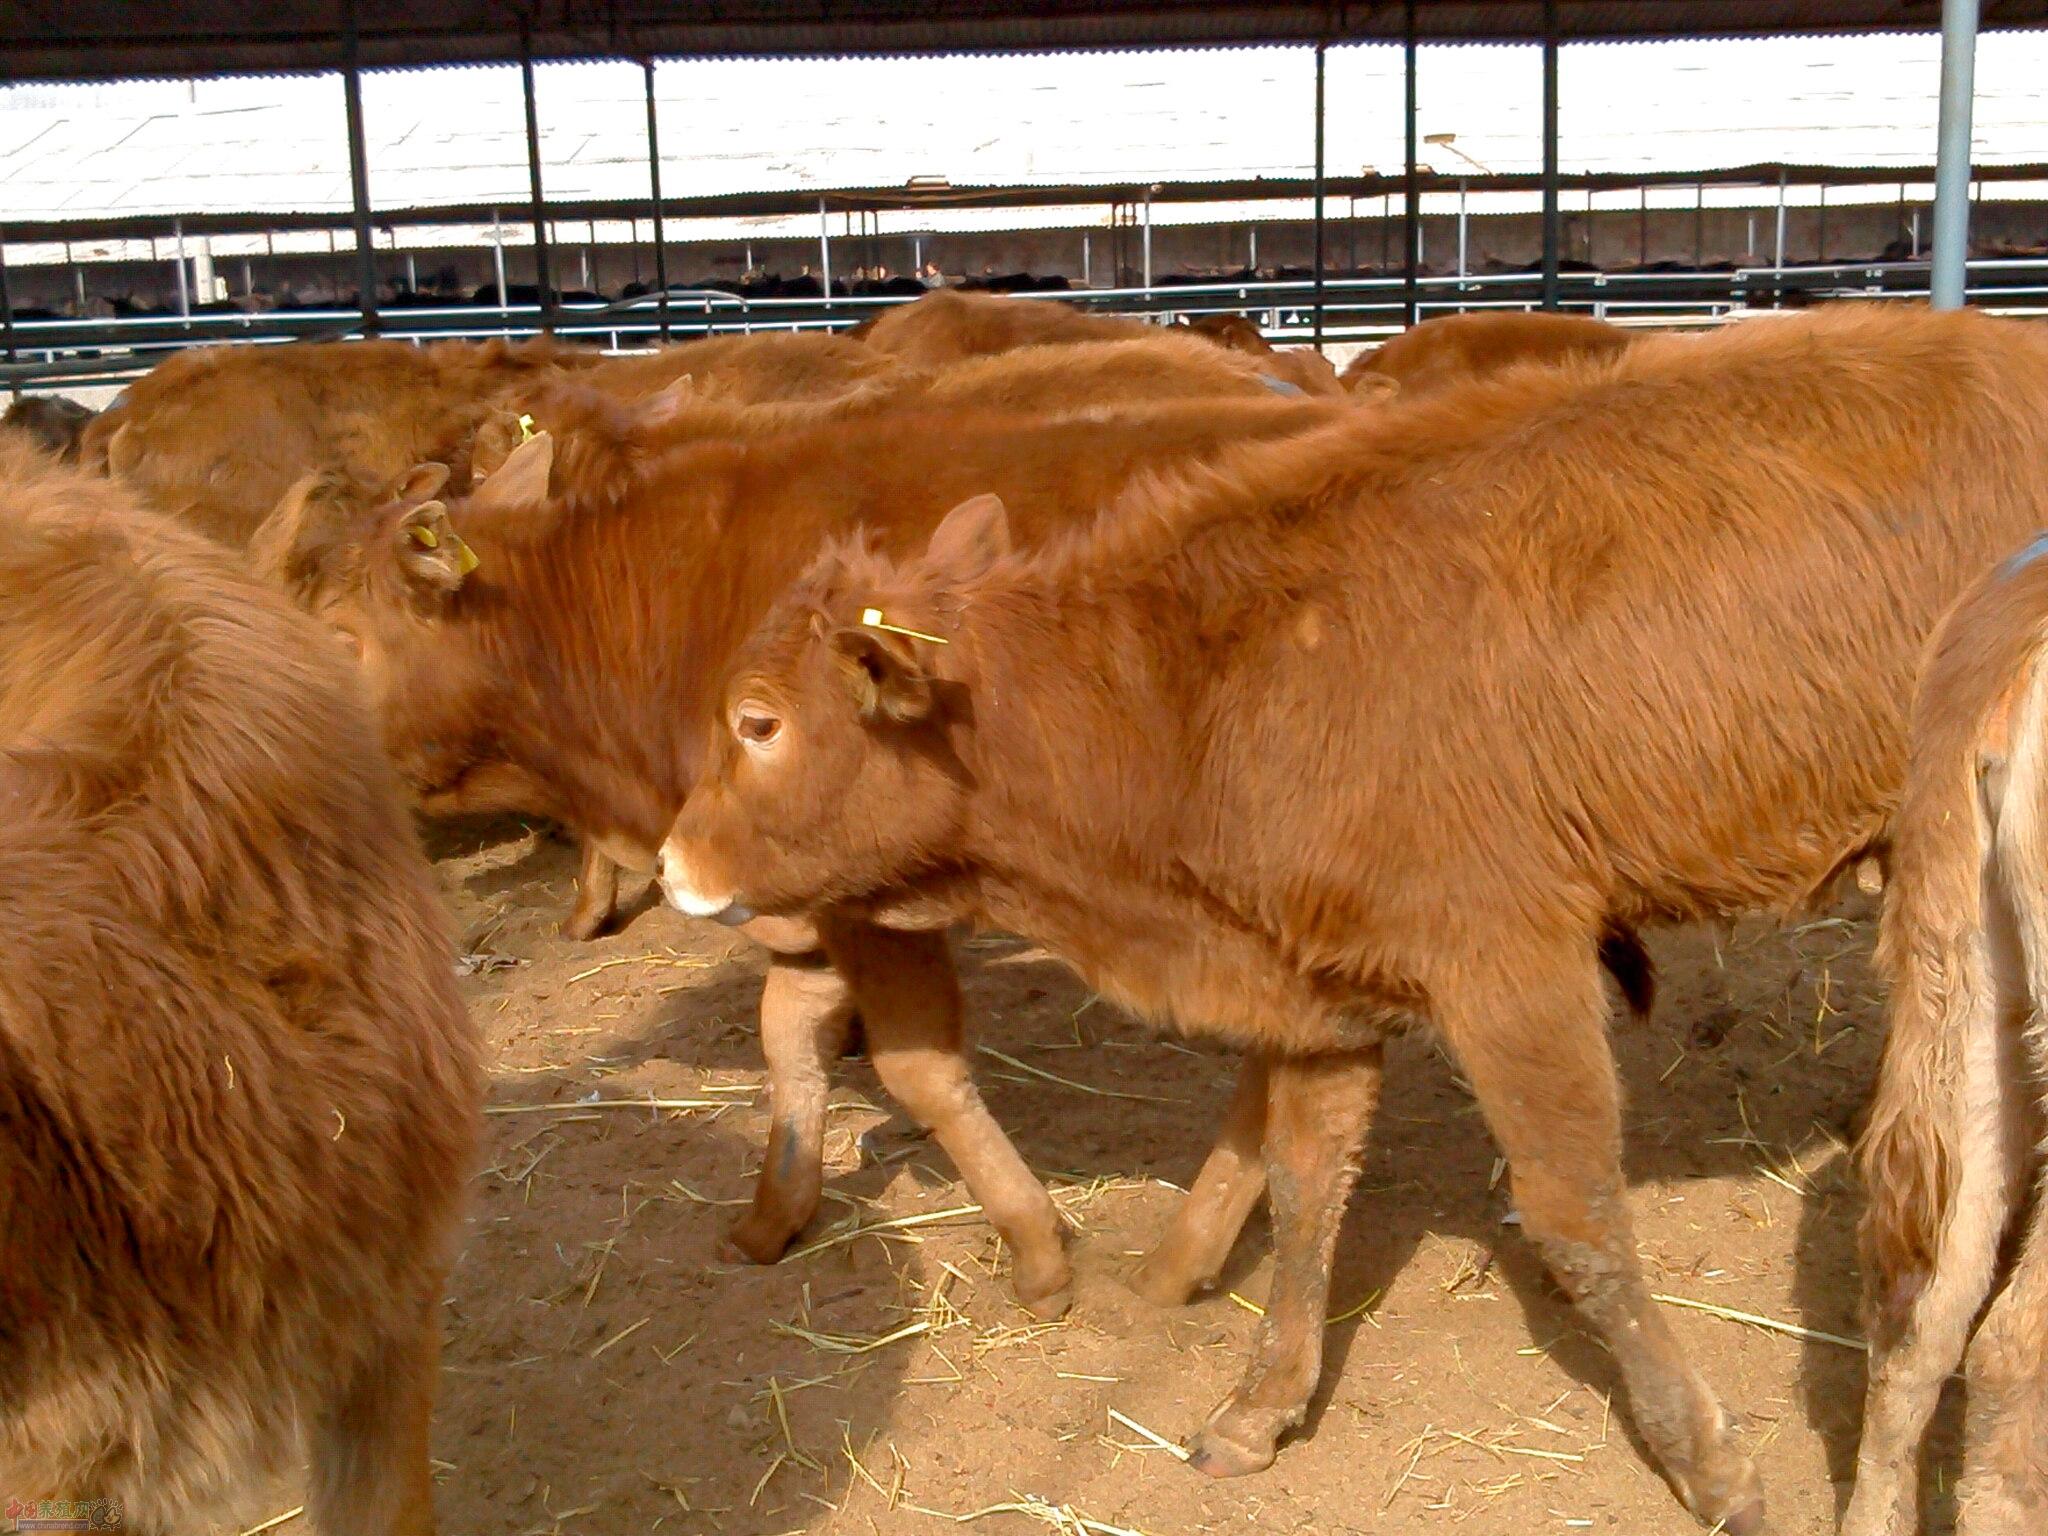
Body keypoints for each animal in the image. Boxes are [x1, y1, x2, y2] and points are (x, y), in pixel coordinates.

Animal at [659, 307, 2048, 1531]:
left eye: (759, 721)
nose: (675, 859)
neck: (1210, 676)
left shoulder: (1507, 970)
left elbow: (1575, 1216)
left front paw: (1708, 1466)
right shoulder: (1317, 993)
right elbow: (1305, 1186)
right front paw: (1258, 1406)